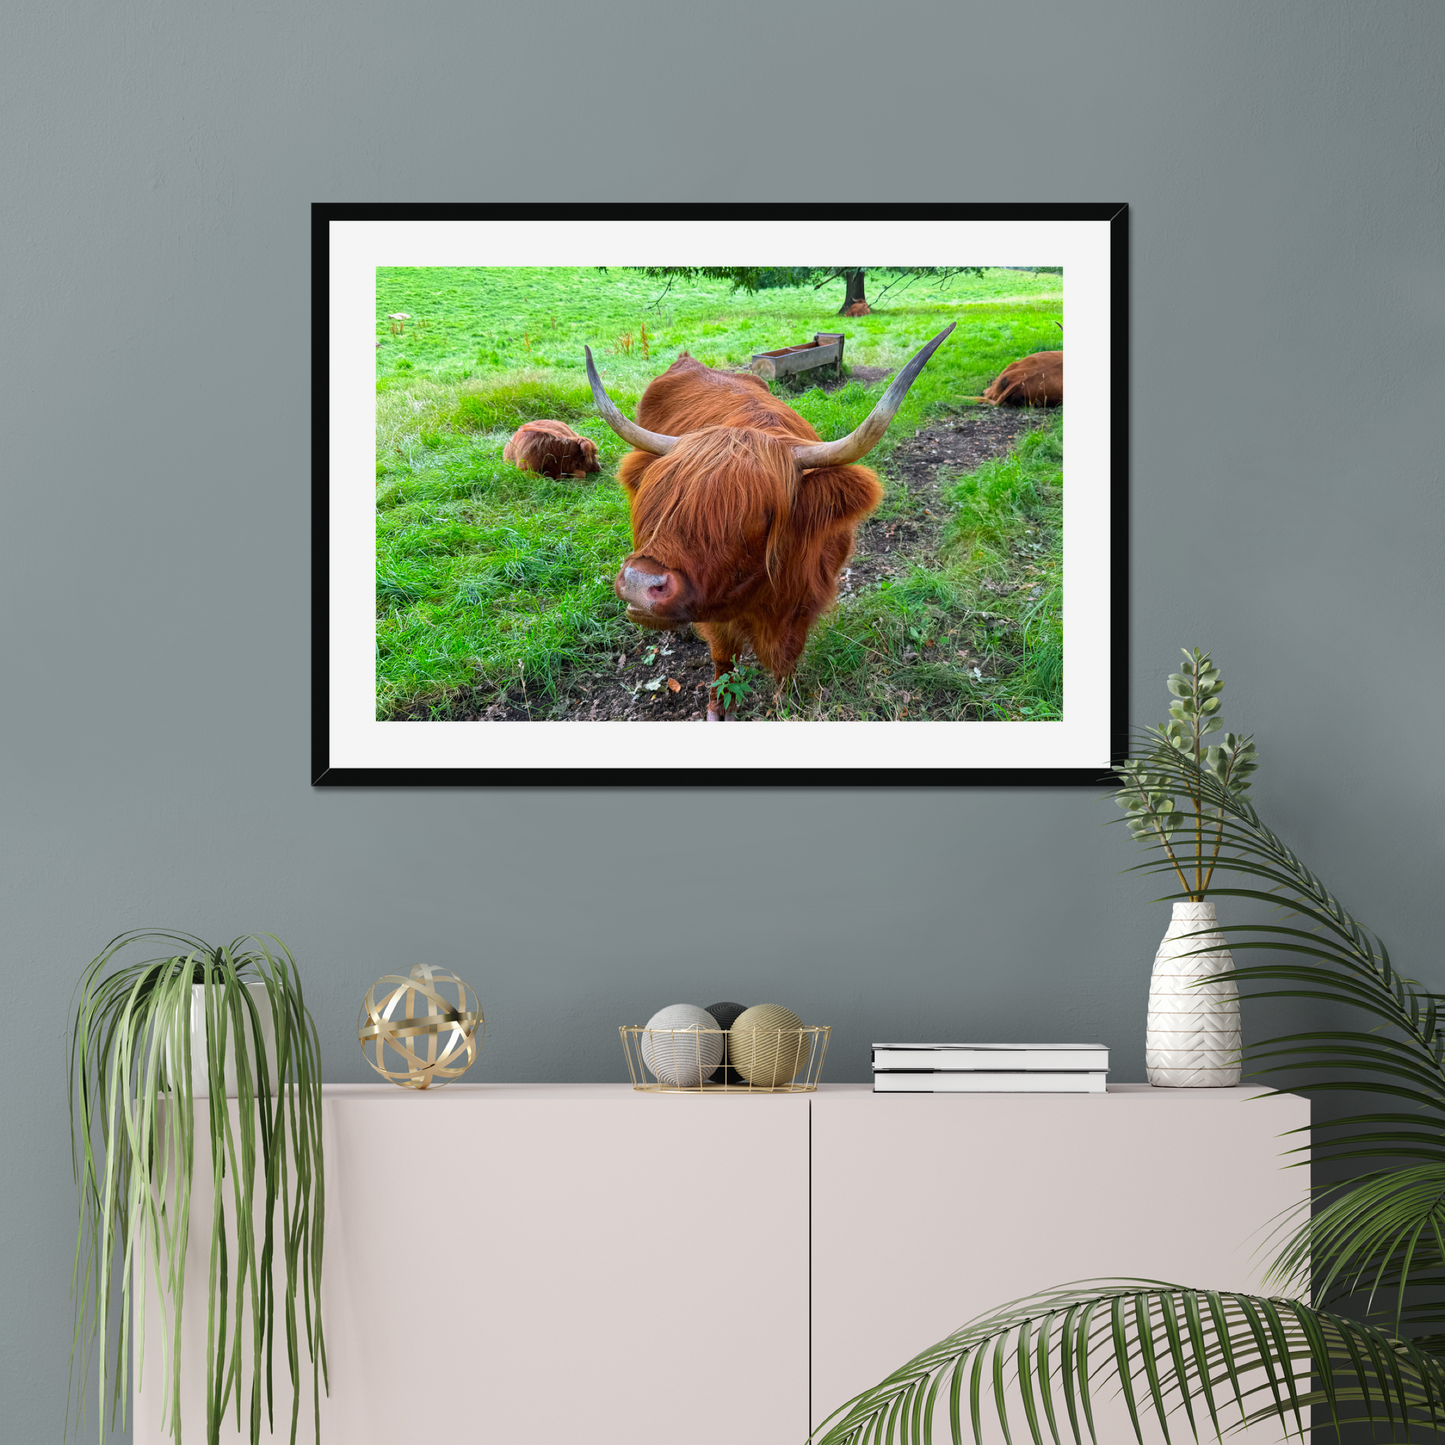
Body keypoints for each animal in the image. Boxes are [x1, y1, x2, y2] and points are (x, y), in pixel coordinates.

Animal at [585, 324, 955, 721]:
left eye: (758, 513)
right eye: (662, 496)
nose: (640, 583)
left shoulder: (805, 601)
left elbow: (787, 658)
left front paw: (786, 700)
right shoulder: (716, 611)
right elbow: (723, 657)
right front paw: (719, 707)